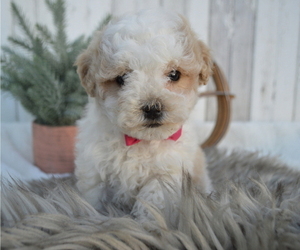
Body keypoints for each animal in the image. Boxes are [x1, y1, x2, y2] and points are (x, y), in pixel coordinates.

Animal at [74, 8, 212, 218]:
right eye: (121, 78)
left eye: (174, 74)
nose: (153, 108)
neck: (141, 142)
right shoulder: (94, 168)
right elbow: (94, 198)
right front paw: (93, 217)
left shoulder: (166, 173)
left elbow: (152, 201)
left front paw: (146, 221)